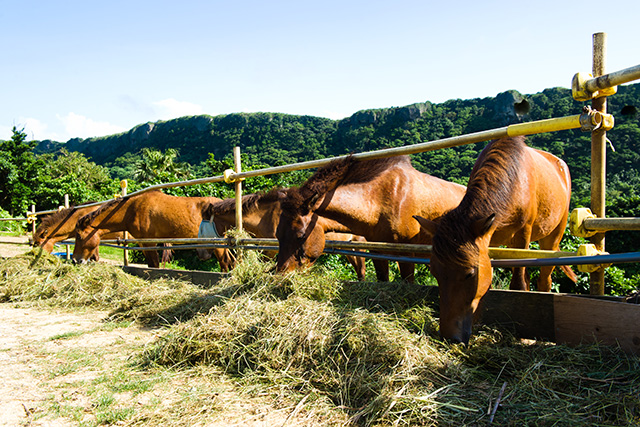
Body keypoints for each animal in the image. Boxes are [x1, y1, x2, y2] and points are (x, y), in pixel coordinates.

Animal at [71, 191, 231, 270]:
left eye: (79, 236)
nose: (75, 260)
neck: (132, 209)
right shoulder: (143, 244)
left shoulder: (150, 243)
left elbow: (154, 265)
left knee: (225, 263)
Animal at [200, 191, 370, 280]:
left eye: (202, 229)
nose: (202, 254)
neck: (267, 216)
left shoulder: (272, 250)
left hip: (359, 245)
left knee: (361, 269)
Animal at [412, 137, 576, 344]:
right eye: (435, 273)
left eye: (469, 274)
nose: (450, 337)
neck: (514, 179)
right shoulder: (488, 239)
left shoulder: (523, 235)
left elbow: (517, 284)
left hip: (552, 238)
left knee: (544, 279)